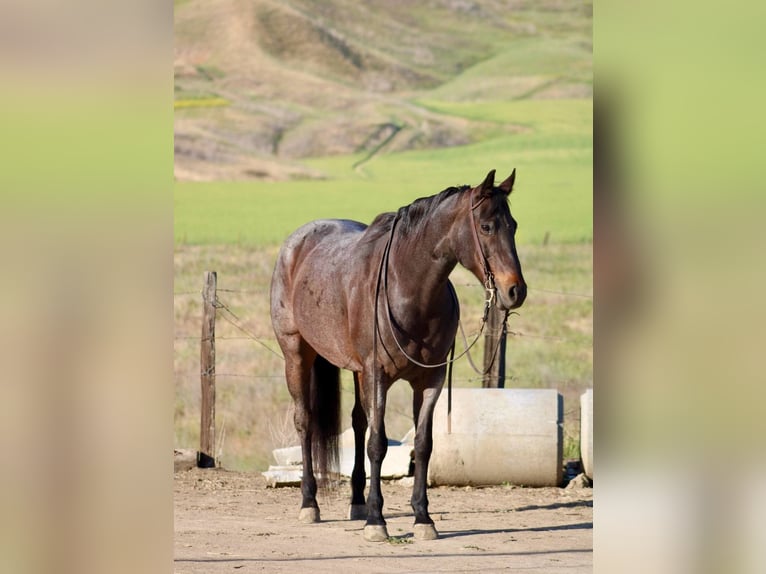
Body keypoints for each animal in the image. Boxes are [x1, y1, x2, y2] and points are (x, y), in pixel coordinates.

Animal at [269, 168, 527, 541]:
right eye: (487, 226)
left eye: (514, 226)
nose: (515, 290)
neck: (408, 288)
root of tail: (297, 243)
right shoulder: (378, 376)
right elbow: (377, 444)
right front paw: (377, 521)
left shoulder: (429, 380)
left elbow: (422, 444)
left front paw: (422, 517)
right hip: (297, 354)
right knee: (305, 421)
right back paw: (310, 503)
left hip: (356, 370)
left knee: (358, 423)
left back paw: (357, 503)